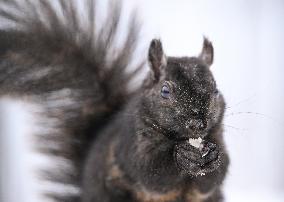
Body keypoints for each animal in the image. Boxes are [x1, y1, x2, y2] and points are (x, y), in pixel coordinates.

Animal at [0, 0, 229, 202]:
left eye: (216, 89)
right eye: (165, 91)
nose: (198, 124)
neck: (180, 138)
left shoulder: (217, 136)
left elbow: (213, 178)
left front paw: (213, 156)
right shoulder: (129, 143)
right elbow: (150, 172)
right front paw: (182, 156)